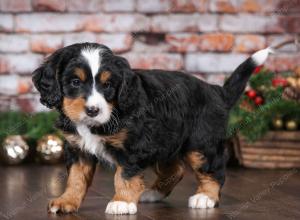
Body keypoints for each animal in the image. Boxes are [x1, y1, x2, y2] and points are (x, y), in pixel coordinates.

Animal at [31, 43, 274, 215]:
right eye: (74, 82)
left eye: (108, 85)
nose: (93, 110)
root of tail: (217, 91)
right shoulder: (78, 148)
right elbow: (76, 177)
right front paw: (66, 201)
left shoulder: (133, 147)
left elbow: (124, 176)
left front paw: (122, 202)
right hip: (166, 140)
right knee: (176, 169)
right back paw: (153, 193)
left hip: (201, 143)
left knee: (212, 170)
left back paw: (205, 197)